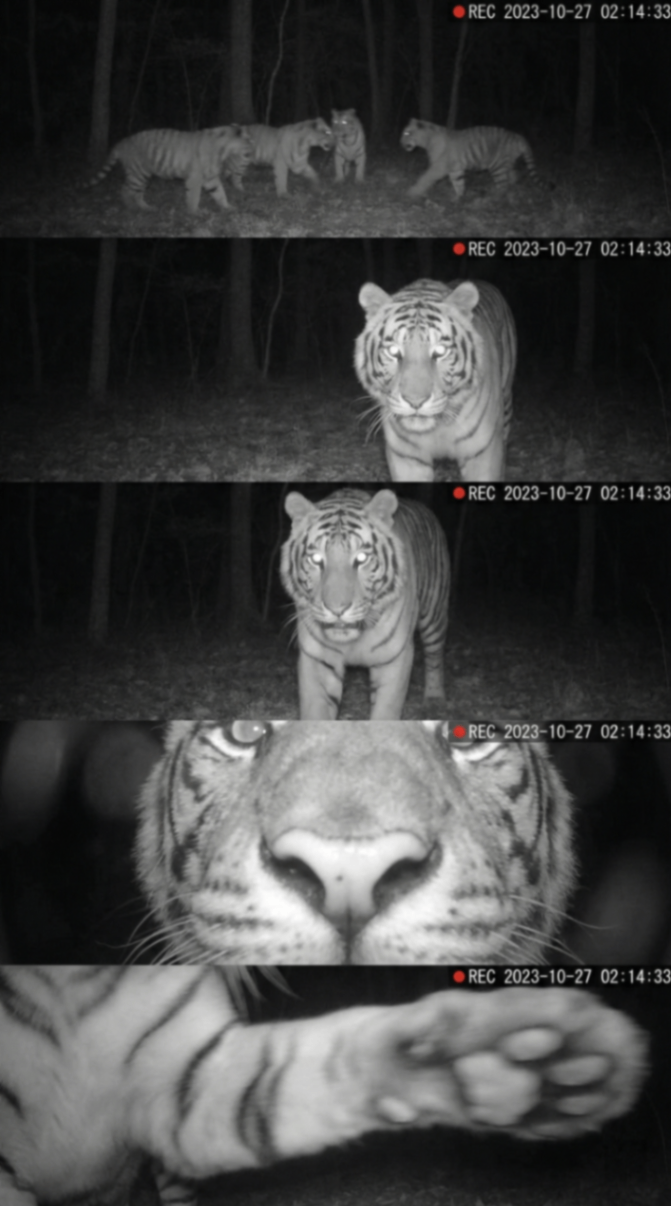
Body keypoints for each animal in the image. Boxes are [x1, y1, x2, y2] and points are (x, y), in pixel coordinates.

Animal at [88, 125, 254, 213]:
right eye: (248, 141)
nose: (252, 149)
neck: (224, 150)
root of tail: (121, 143)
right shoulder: (196, 177)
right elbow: (194, 196)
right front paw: (195, 213)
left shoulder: (210, 177)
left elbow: (220, 192)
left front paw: (228, 207)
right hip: (138, 173)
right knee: (125, 190)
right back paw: (132, 208)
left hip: (143, 176)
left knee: (136, 193)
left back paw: (147, 208)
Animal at [279, 488, 450, 719]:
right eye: (316, 559)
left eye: (361, 558)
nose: (337, 609)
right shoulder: (318, 659)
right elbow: (316, 712)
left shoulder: (394, 658)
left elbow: (385, 713)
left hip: (434, 614)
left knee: (435, 656)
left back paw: (434, 698)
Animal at [354, 278, 516, 481]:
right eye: (393, 351)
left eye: (440, 351)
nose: (415, 402)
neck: (438, 428)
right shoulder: (407, 458)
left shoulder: (483, 454)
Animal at [401, 118, 545, 199]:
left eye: (407, 133)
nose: (400, 143)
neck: (427, 140)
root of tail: (519, 136)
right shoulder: (455, 169)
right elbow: (458, 183)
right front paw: (458, 198)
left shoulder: (439, 167)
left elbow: (424, 178)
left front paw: (411, 193)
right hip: (506, 165)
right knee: (514, 176)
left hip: (497, 166)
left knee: (503, 185)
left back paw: (494, 200)